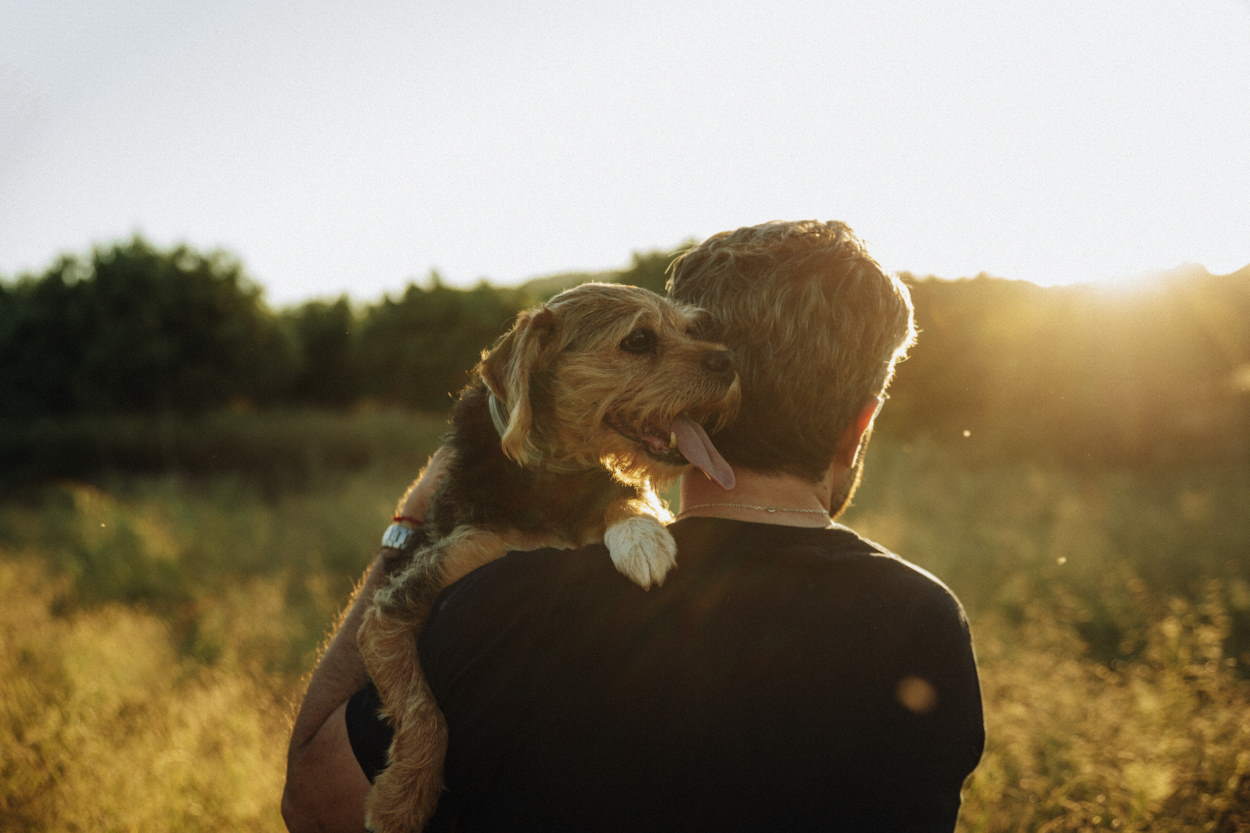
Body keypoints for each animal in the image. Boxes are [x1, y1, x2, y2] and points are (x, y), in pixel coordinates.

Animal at [357, 282, 735, 825]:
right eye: (638, 340)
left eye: (690, 330)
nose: (730, 361)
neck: (555, 479)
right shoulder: (401, 600)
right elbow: (419, 709)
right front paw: (399, 799)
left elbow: (625, 495)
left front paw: (640, 537)